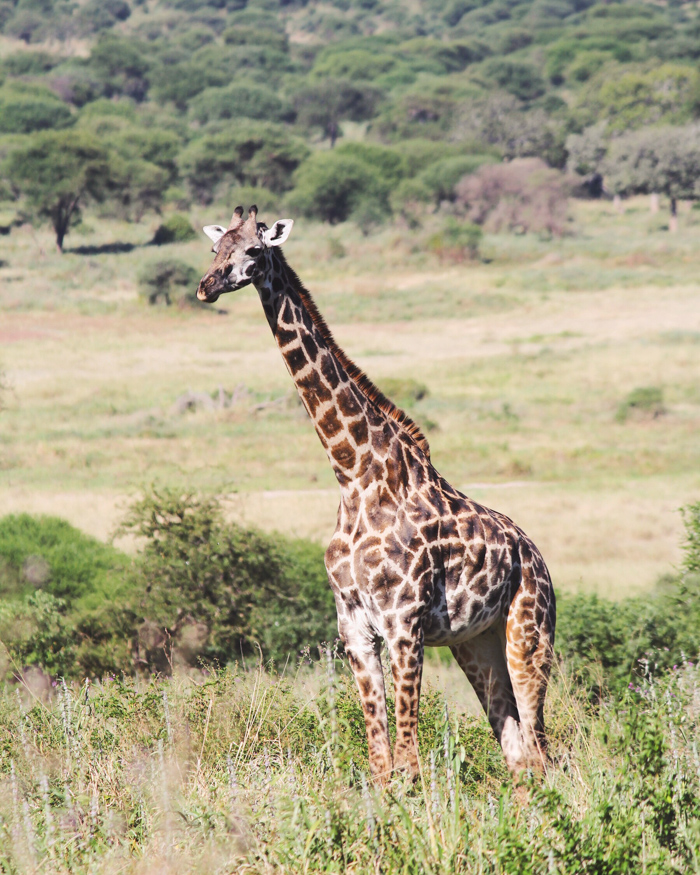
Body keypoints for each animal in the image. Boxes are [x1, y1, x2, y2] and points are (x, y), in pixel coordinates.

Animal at [198, 207, 556, 788]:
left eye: (253, 249)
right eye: (215, 249)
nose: (206, 286)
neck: (353, 475)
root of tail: (538, 557)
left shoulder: (403, 624)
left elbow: (409, 762)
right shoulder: (355, 627)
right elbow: (382, 763)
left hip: (528, 633)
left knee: (545, 752)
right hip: (475, 643)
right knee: (519, 754)